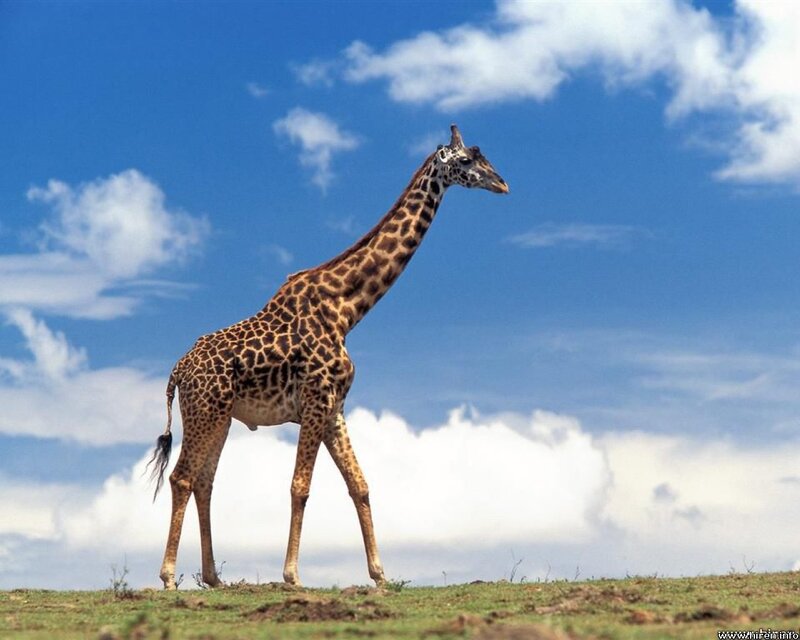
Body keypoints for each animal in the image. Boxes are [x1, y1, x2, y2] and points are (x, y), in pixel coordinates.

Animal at [148, 124, 508, 590]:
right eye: (467, 160)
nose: (502, 183)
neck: (348, 309)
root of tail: (176, 371)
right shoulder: (316, 400)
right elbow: (300, 485)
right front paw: (292, 575)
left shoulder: (335, 407)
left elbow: (360, 485)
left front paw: (379, 575)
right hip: (205, 411)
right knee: (182, 477)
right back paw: (169, 577)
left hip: (220, 416)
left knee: (205, 482)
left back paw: (213, 578)